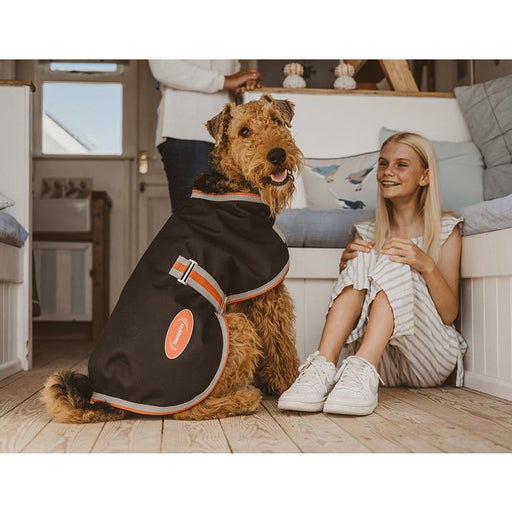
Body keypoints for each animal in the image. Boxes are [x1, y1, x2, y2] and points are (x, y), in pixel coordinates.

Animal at [41, 94, 304, 422]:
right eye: (244, 132)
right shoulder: (266, 288)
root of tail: (109, 399)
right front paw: (290, 383)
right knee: (190, 409)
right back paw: (246, 397)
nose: (277, 155)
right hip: (234, 331)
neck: (233, 184)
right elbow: (282, 344)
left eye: (276, 120)